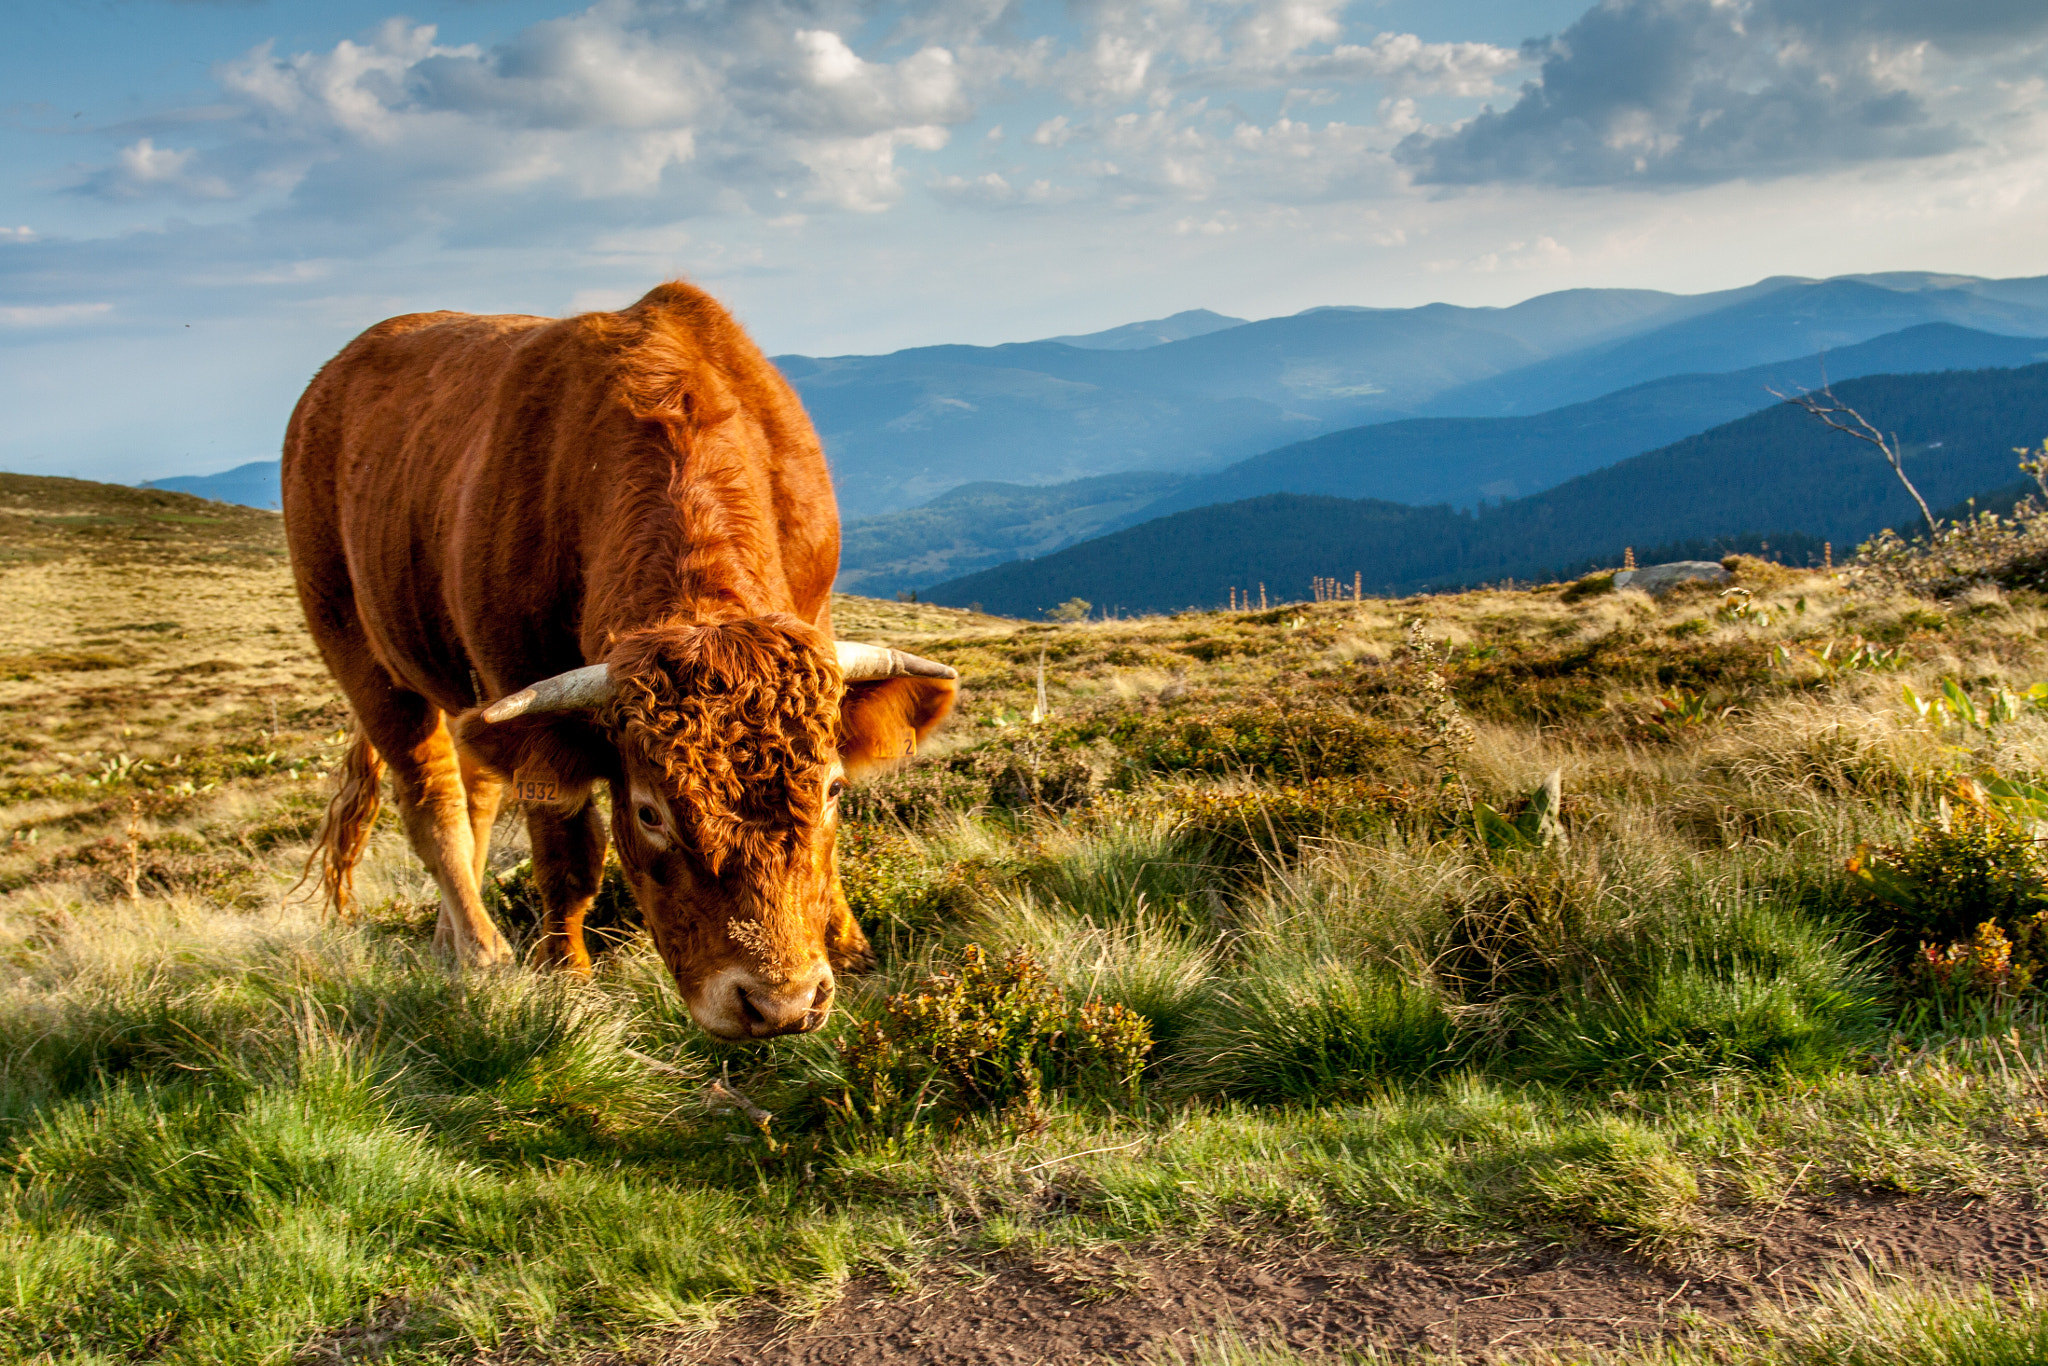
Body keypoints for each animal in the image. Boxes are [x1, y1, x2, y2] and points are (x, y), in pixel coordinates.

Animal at [282, 282, 958, 1040]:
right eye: (649, 813)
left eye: (836, 790)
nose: (779, 1003)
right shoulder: (516, 681)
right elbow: (567, 853)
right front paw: (566, 977)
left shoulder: (815, 615)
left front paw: (852, 948)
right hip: (355, 644)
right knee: (434, 803)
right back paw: (483, 953)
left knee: (475, 793)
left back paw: (448, 946)